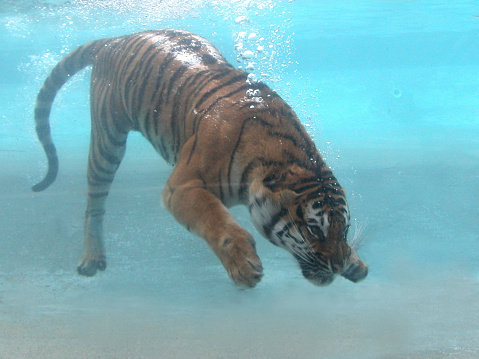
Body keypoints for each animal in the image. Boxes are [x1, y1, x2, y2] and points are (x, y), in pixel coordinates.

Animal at [33, 30, 370, 290]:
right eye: (314, 231)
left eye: (344, 230)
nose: (338, 265)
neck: (287, 157)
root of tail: (116, 38)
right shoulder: (182, 186)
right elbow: (213, 218)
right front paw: (244, 266)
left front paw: (356, 264)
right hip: (107, 139)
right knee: (94, 204)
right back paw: (92, 258)